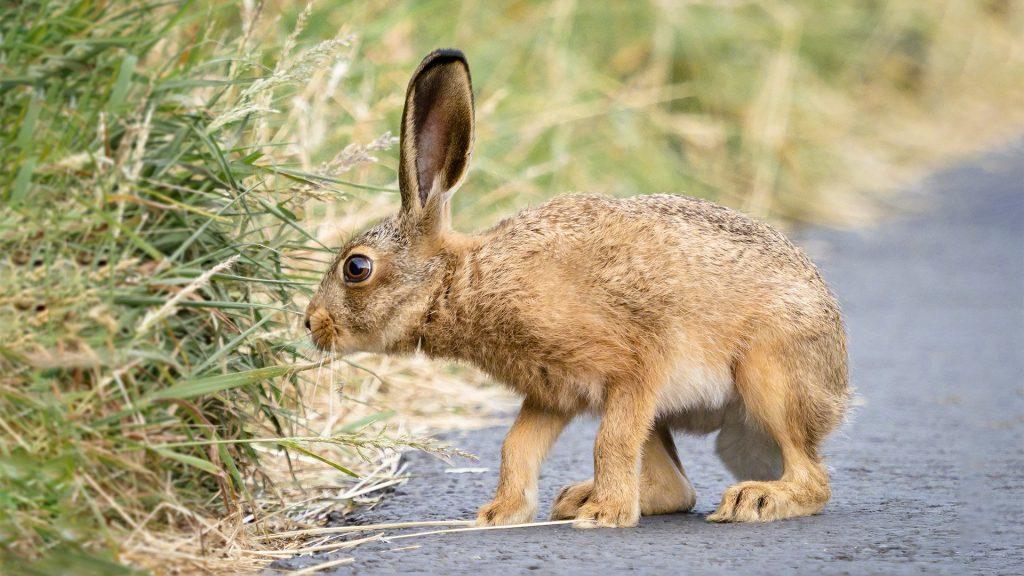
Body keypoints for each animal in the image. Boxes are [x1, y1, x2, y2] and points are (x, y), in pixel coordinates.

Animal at [305, 49, 849, 528]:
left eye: (356, 268)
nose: (311, 323)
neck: (463, 282)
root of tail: (836, 384)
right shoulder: (553, 393)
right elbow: (516, 447)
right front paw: (500, 514)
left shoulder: (634, 370)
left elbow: (608, 443)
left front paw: (607, 517)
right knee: (675, 488)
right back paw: (578, 499)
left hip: (768, 374)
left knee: (812, 475)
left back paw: (749, 500)